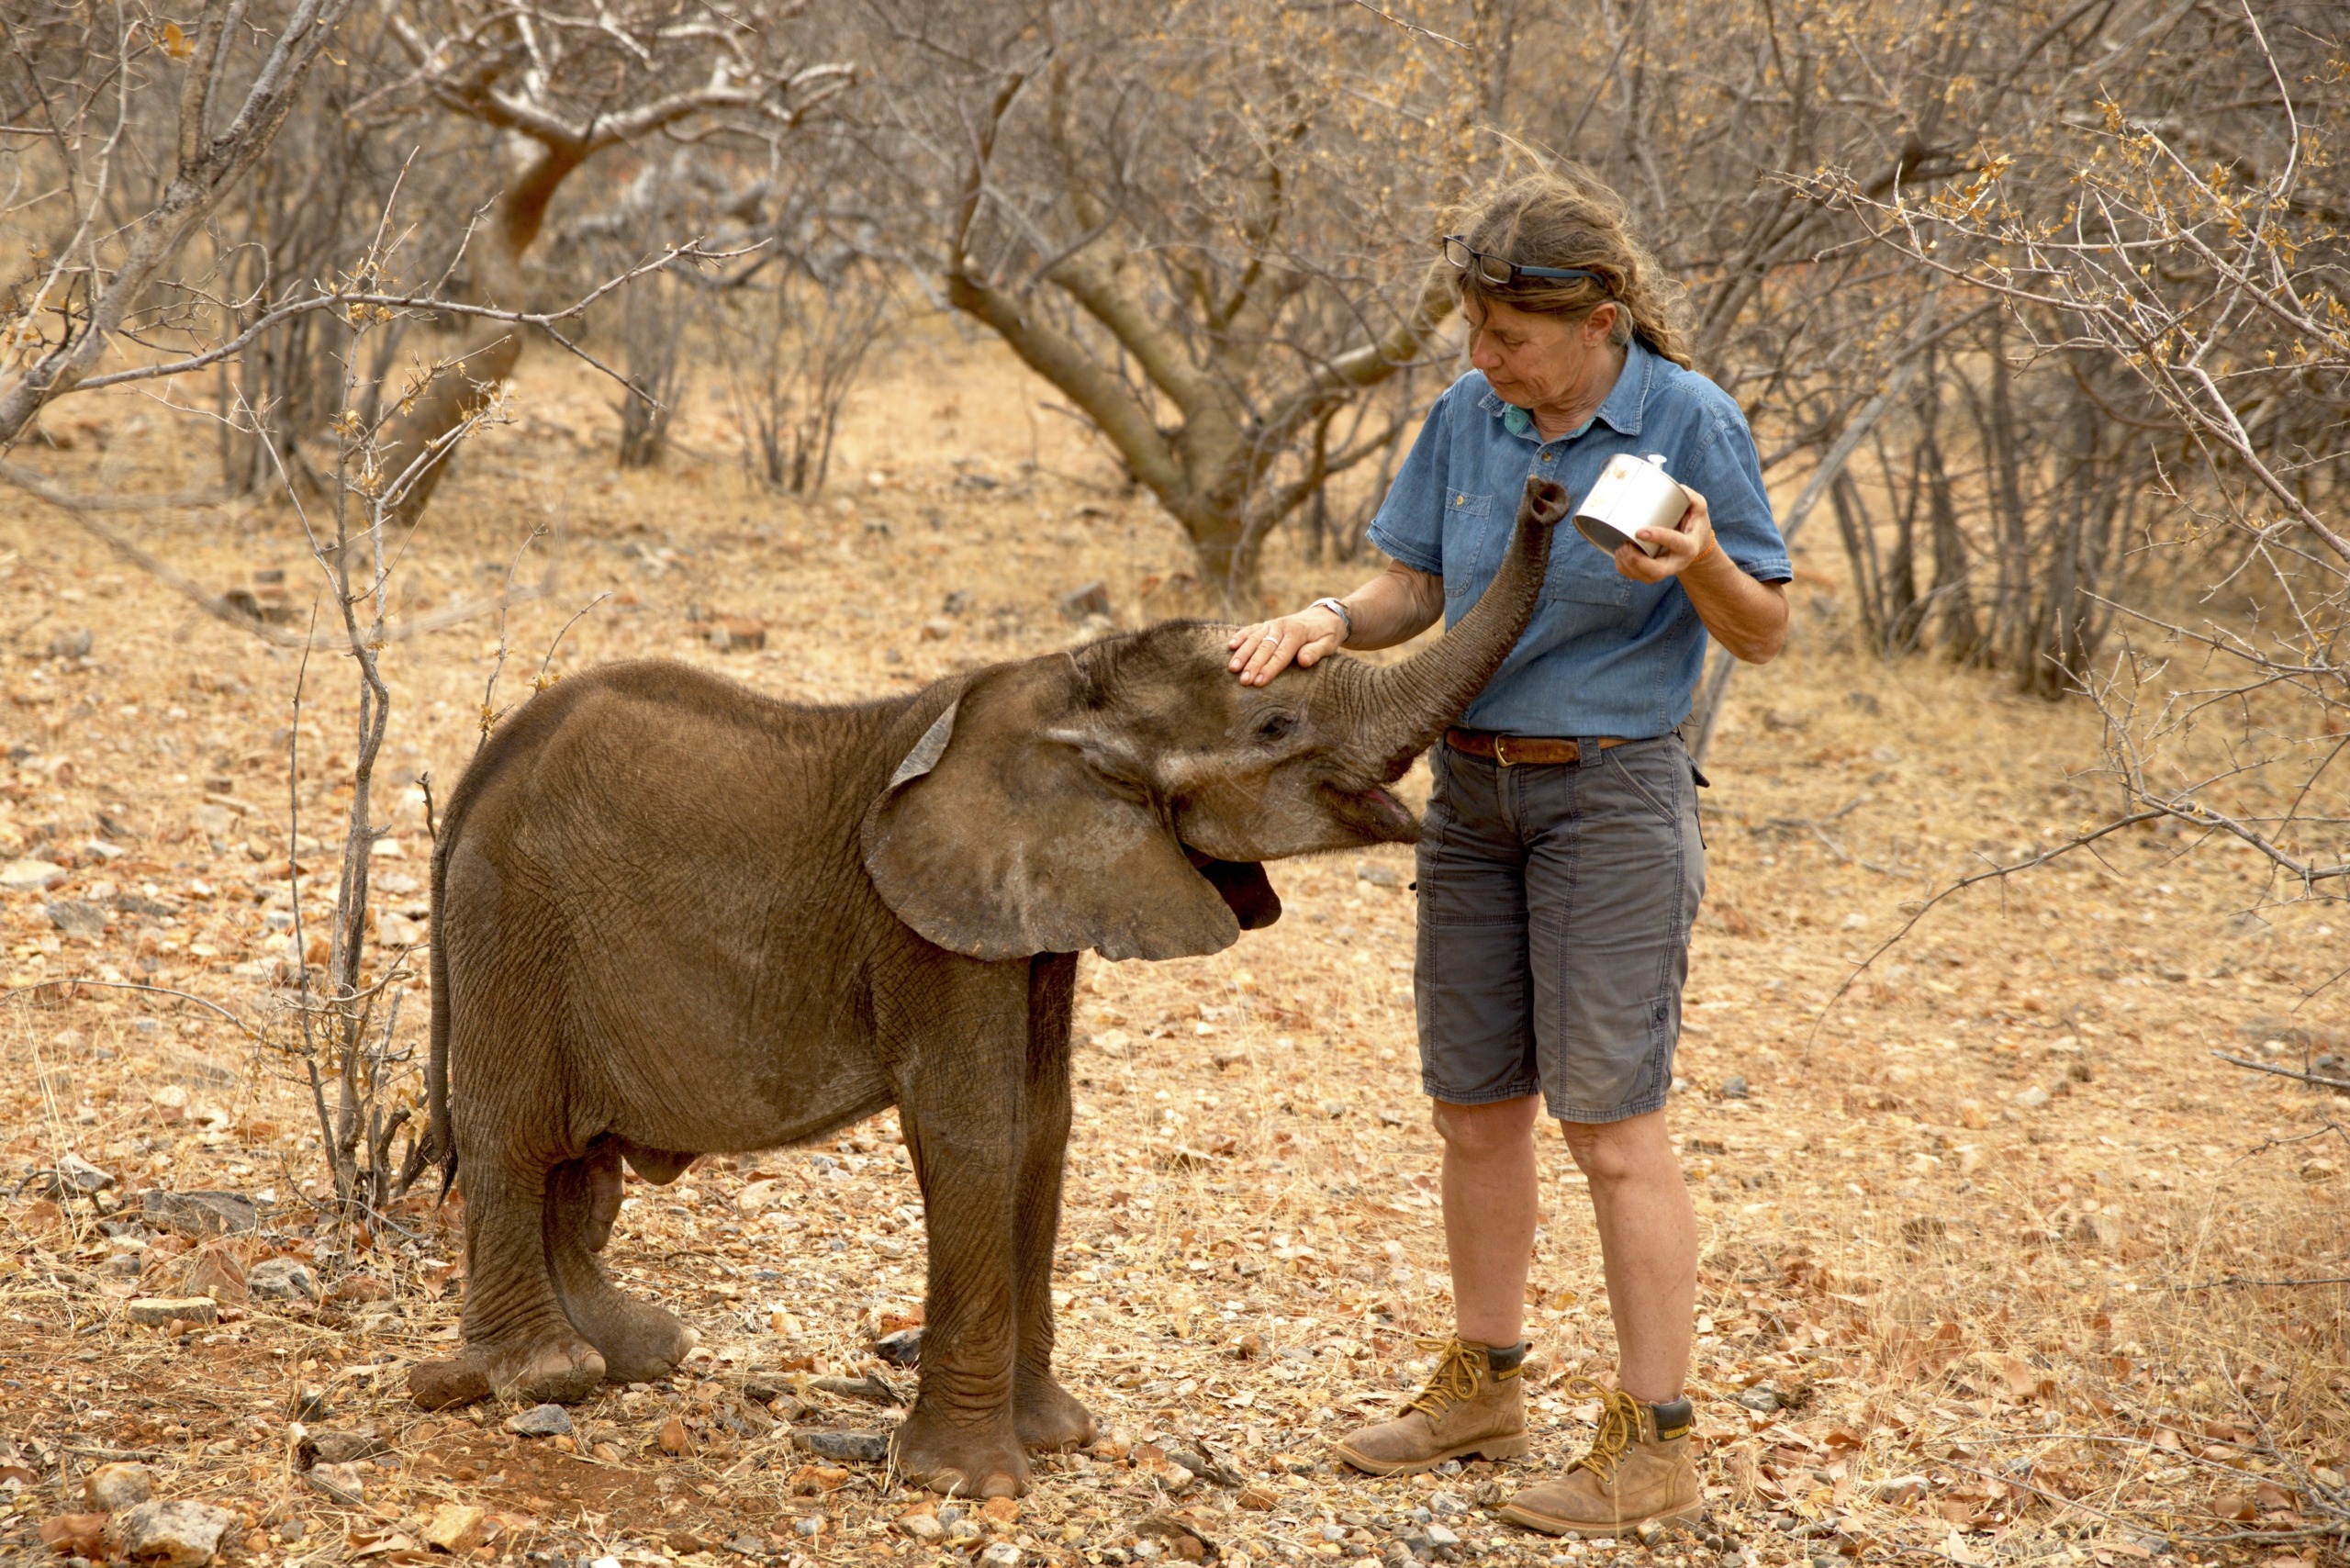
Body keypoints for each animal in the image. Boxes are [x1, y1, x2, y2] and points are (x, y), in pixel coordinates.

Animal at [413, 475, 1570, 1495]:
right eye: (1275, 728)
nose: (1551, 491)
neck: (1061, 684)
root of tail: (480, 768)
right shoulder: (926, 923)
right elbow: (974, 1125)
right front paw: (973, 1483)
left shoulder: (1038, 912)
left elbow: (1042, 1123)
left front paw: (1056, 1438)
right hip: (509, 917)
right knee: (515, 1132)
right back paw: (549, 1373)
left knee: (579, 1165)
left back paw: (634, 1351)